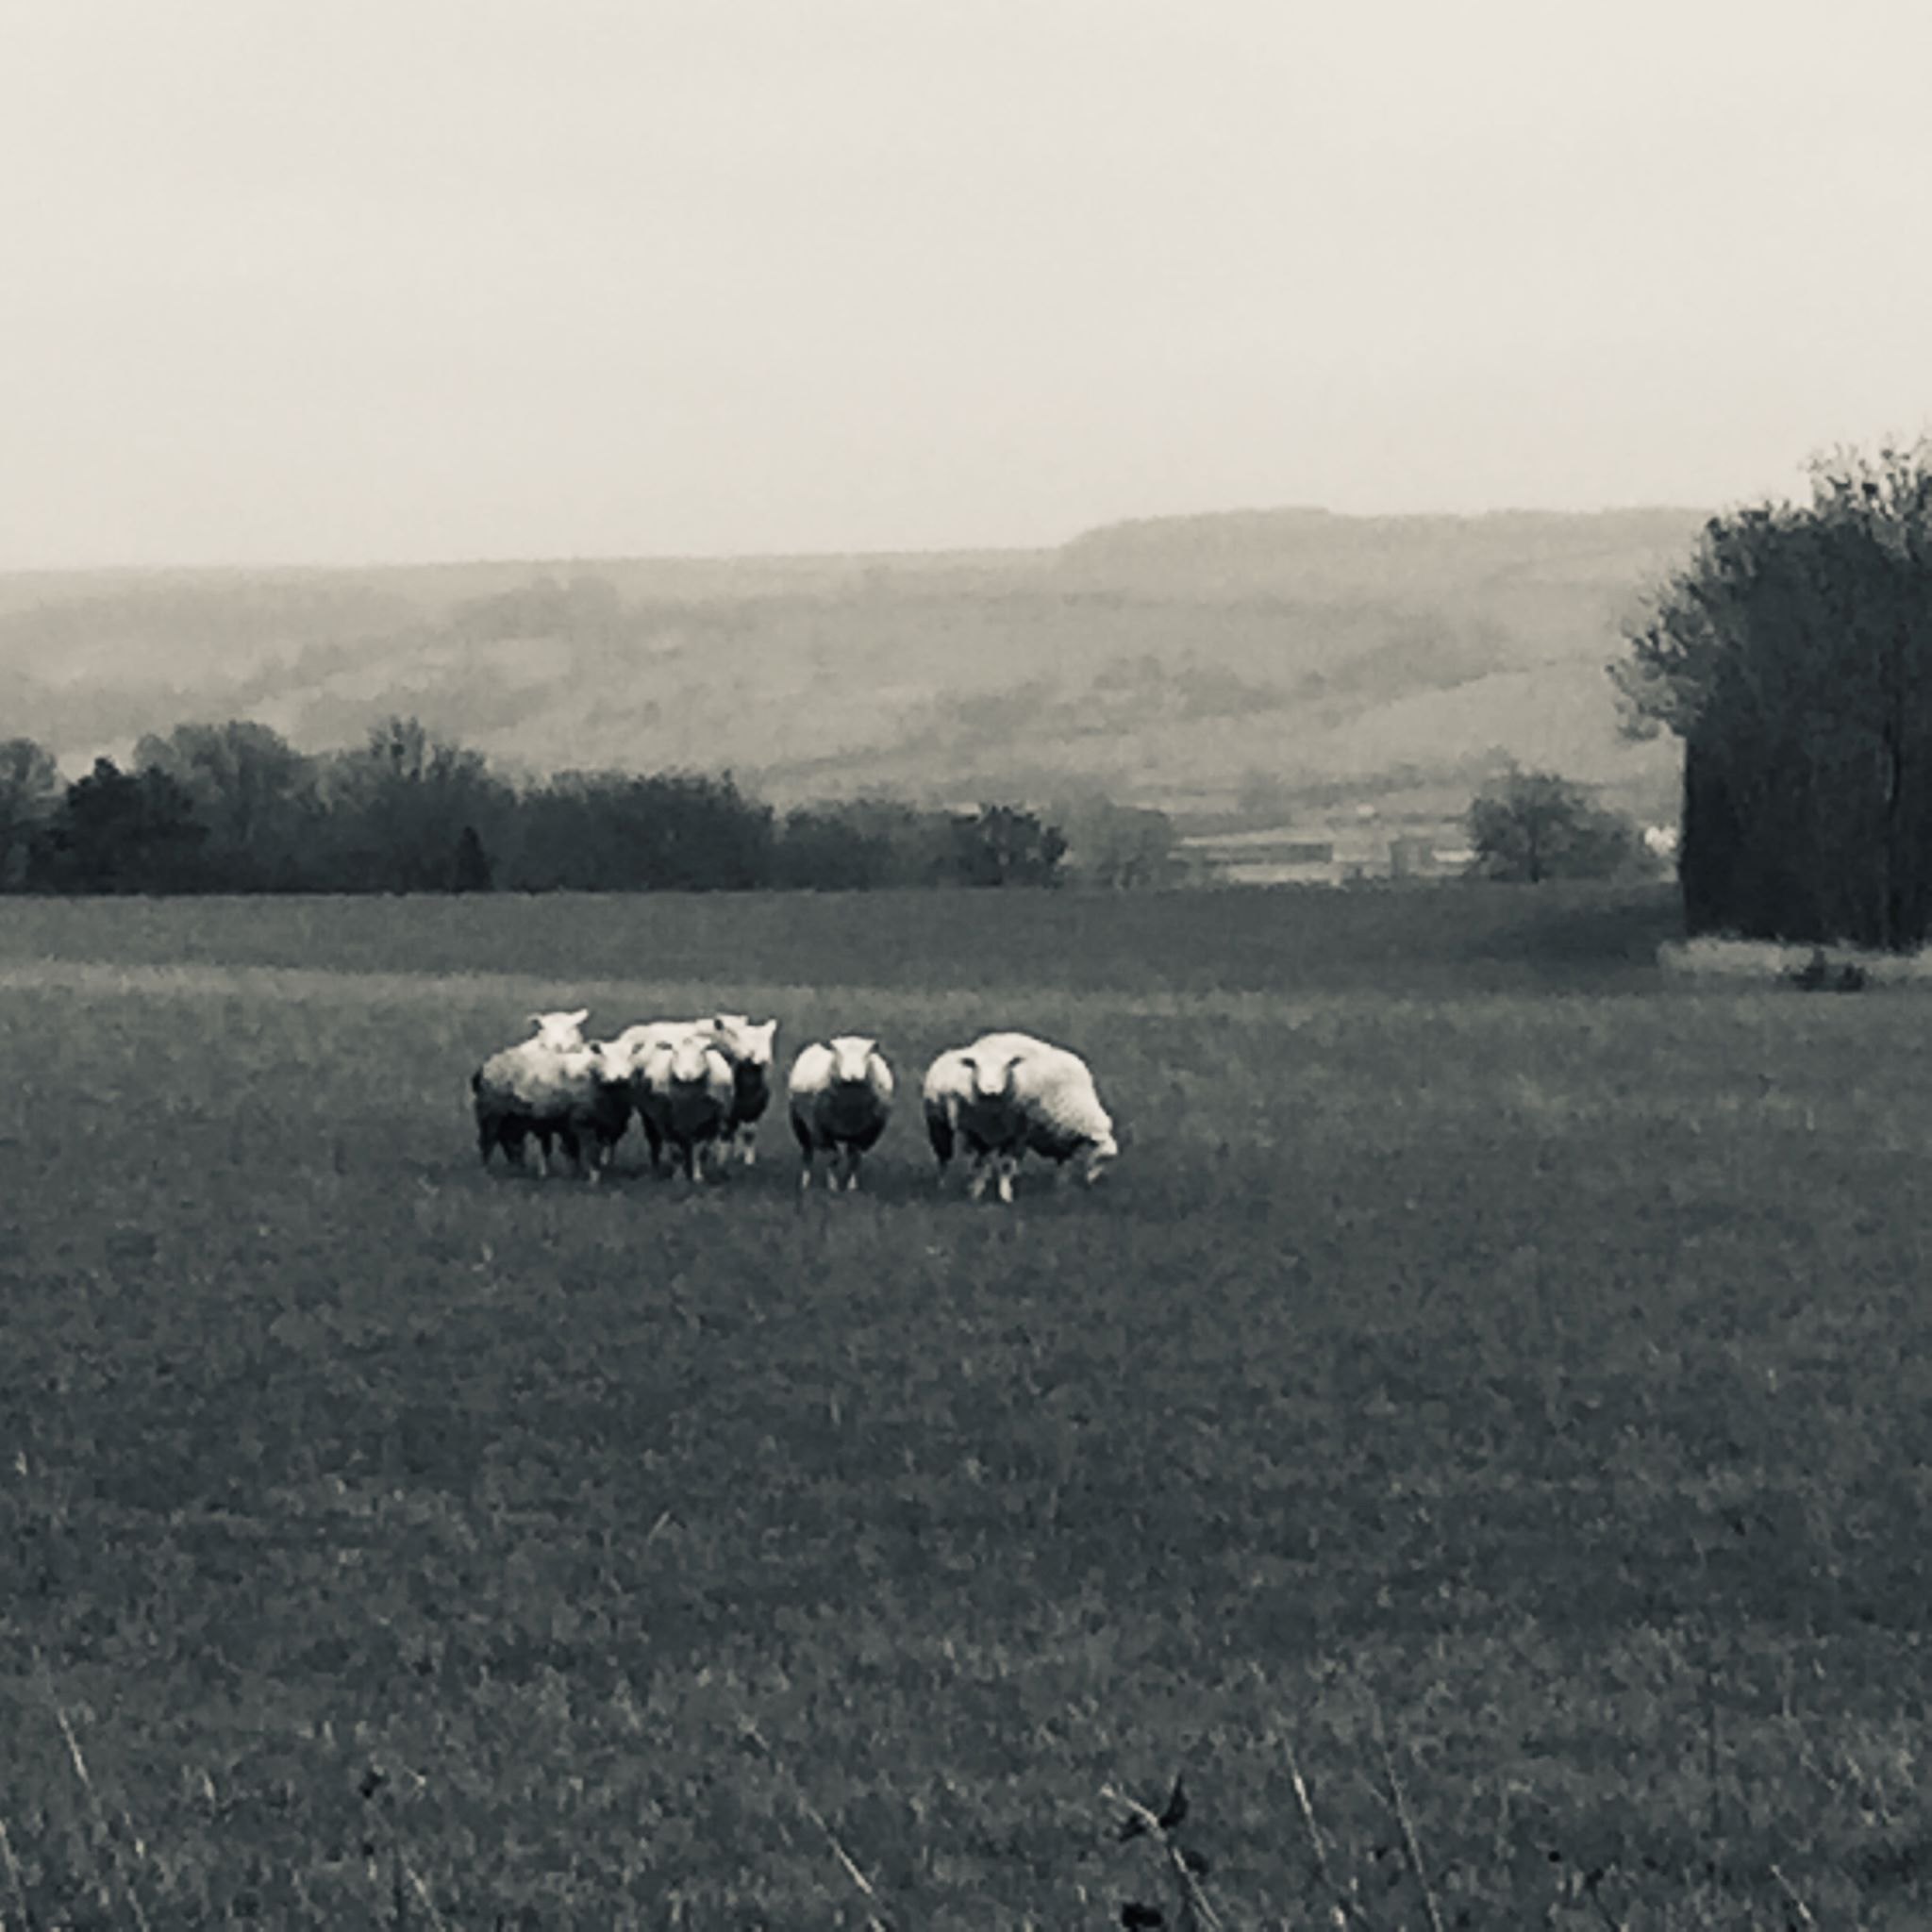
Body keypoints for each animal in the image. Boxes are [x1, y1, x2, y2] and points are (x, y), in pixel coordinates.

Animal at [629, 1027, 734, 1174]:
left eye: (703, 1051)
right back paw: (656, 1168)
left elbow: (701, 1152)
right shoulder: (664, 1121)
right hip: (649, 1117)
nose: (687, 1075)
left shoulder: (712, 1121)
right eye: (674, 1051)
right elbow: (675, 1152)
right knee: (655, 1142)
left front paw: (697, 1176)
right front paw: (678, 1177)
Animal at [788, 1042, 892, 1190]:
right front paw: (833, 1186)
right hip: (798, 1123)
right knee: (807, 1154)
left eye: (868, 1053)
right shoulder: (819, 1131)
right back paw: (805, 1185)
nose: (853, 1076)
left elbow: (855, 1159)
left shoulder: (868, 1133)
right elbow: (834, 1156)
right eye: (837, 1053)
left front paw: (850, 1188)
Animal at [919, 1035, 1120, 1197]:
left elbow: (1010, 1165)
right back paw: (943, 1186)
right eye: (1100, 1158)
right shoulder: (984, 1134)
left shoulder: (1028, 1134)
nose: (1090, 1184)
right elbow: (983, 1165)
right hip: (939, 1126)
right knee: (945, 1158)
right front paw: (978, 1193)